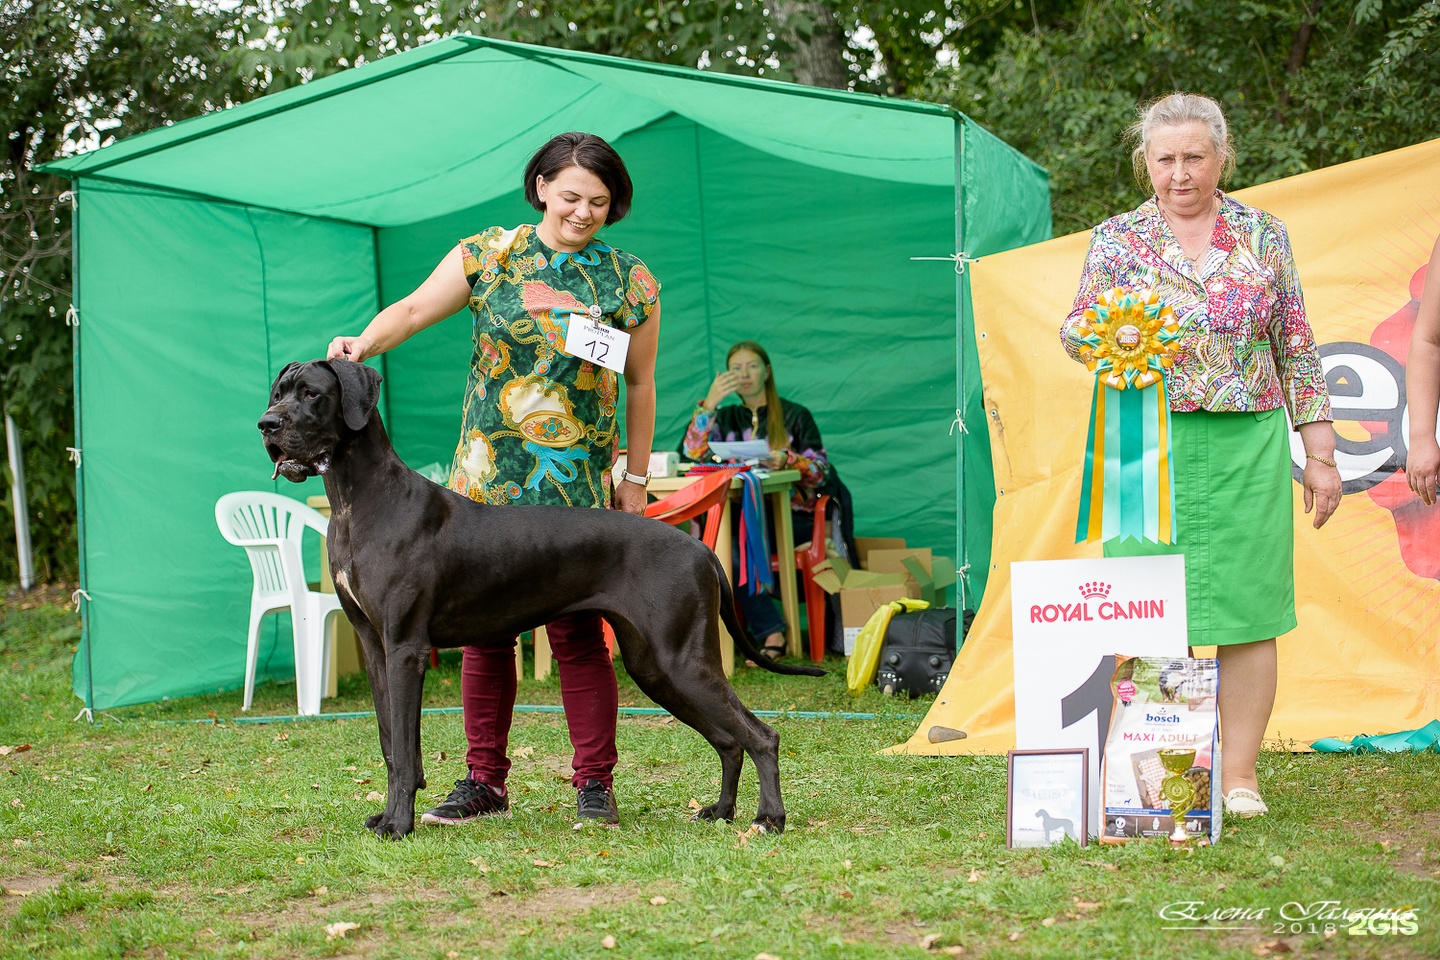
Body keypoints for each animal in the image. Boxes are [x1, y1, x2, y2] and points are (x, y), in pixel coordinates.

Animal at [257, 359, 823, 840]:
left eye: (312, 394)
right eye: (278, 391)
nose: (267, 424)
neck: (358, 500)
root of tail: (702, 549)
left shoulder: (405, 650)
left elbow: (405, 748)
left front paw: (399, 824)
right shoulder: (376, 650)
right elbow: (391, 746)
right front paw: (388, 815)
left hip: (681, 660)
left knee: (761, 735)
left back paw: (769, 817)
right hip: (656, 666)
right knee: (729, 740)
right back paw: (721, 811)